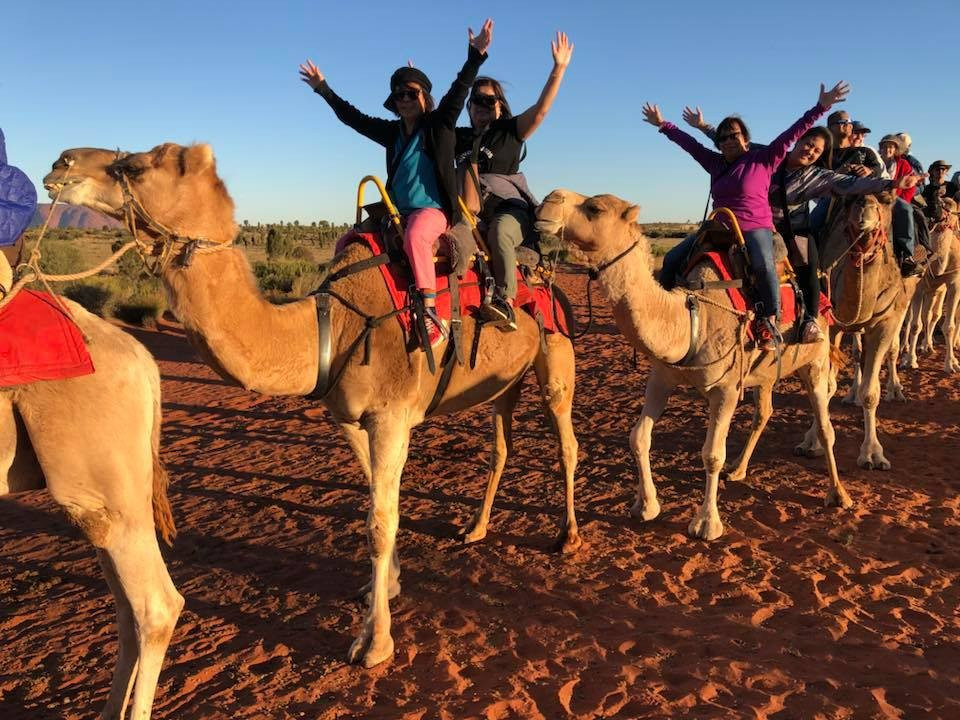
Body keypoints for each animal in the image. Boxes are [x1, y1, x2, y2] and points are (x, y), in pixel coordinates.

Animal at [45, 142, 576, 668]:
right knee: (501, 445)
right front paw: (386, 587)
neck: (332, 324)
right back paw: (476, 528)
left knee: (565, 441)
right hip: (504, 383)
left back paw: (567, 537)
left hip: (555, 352)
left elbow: (380, 522)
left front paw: (374, 644)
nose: (59, 164)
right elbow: (376, 502)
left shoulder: (392, 417)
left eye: (134, 165)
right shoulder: (349, 419)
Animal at [536, 188, 852, 544]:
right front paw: (646, 506)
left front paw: (706, 523)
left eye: (595, 208)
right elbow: (638, 437)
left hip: (815, 358)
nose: (548, 201)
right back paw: (738, 470)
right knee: (764, 412)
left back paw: (838, 494)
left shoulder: (725, 390)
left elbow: (712, 454)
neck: (691, 318)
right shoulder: (662, 376)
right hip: (765, 372)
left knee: (825, 423)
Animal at [800, 194, 912, 470]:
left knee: (892, 350)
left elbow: (871, 393)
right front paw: (812, 442)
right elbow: (825, 387)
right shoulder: (830, 322)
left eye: (887, 199)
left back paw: (895, 390)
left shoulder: (886, 322)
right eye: (846, 200)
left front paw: (873, 454)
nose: (864, 206)